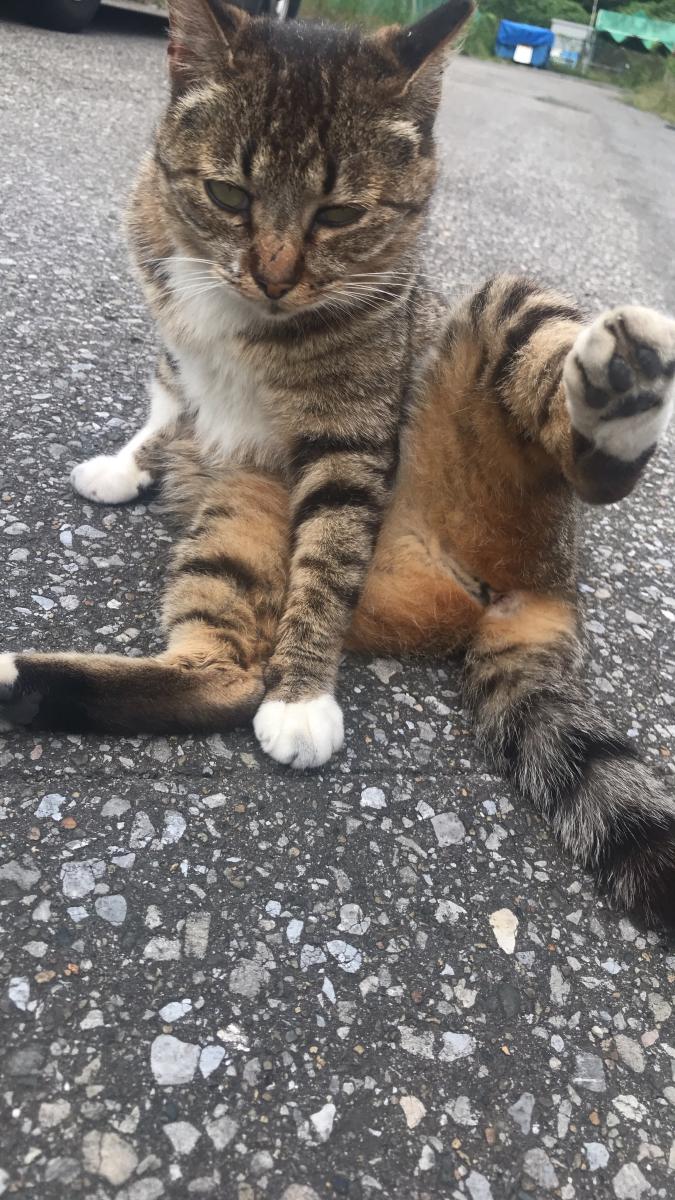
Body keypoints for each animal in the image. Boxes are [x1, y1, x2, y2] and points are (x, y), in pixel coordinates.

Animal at [1, 0, 674, 930]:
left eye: (338, 216)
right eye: (229, 195)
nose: (275, 277)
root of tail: (545, 591)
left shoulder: (349, 439)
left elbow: (325, 557)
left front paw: (304, 697)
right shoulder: (171, 324)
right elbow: (169, 393)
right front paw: (128, 462)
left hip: (499, 319)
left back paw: (617, 405)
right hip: (245, 510)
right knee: (220, 671)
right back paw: (22, 684)